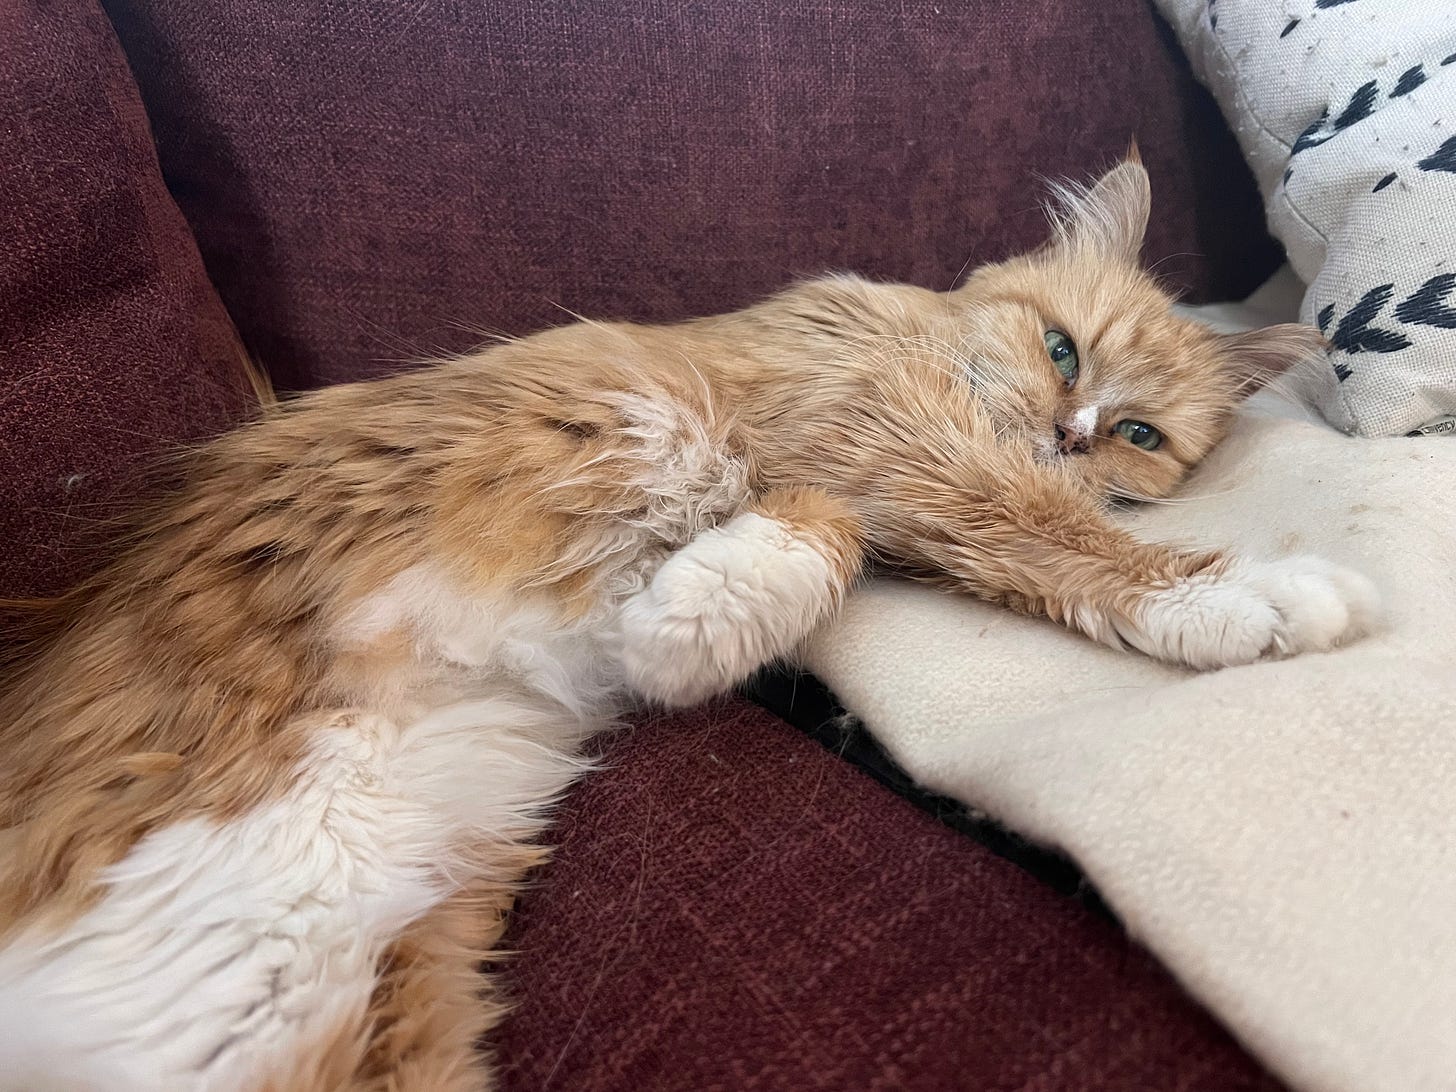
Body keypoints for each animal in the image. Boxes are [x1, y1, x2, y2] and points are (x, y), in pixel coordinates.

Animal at [0, 157, 1374, 1089]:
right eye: (1061, 351)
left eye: (1138, 434)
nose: (1069, 435)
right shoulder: (894, 446)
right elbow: (1055, 539)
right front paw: (1250, 595)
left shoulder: (860, 483)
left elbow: (798, 558)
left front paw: (686, 624)